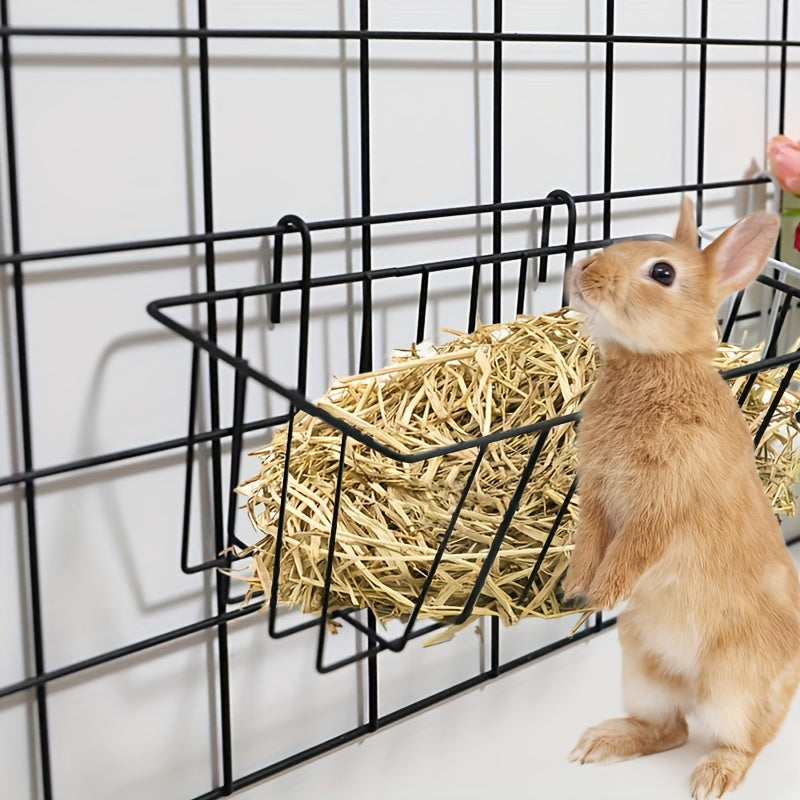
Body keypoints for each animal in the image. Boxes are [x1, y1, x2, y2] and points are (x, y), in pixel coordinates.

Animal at [564, 198, 800, 800]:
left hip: (735, 688)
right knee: (669, 728)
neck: (655, 364)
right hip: (642, 670)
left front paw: (601, 595)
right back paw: (599, 744)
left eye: (663, 273)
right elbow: (589, 539)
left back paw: (711, 779)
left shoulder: (664, 508)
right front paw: (576, 587)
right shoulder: (597, 495)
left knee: (742, 740)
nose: (582, 271)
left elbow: (633, 552)